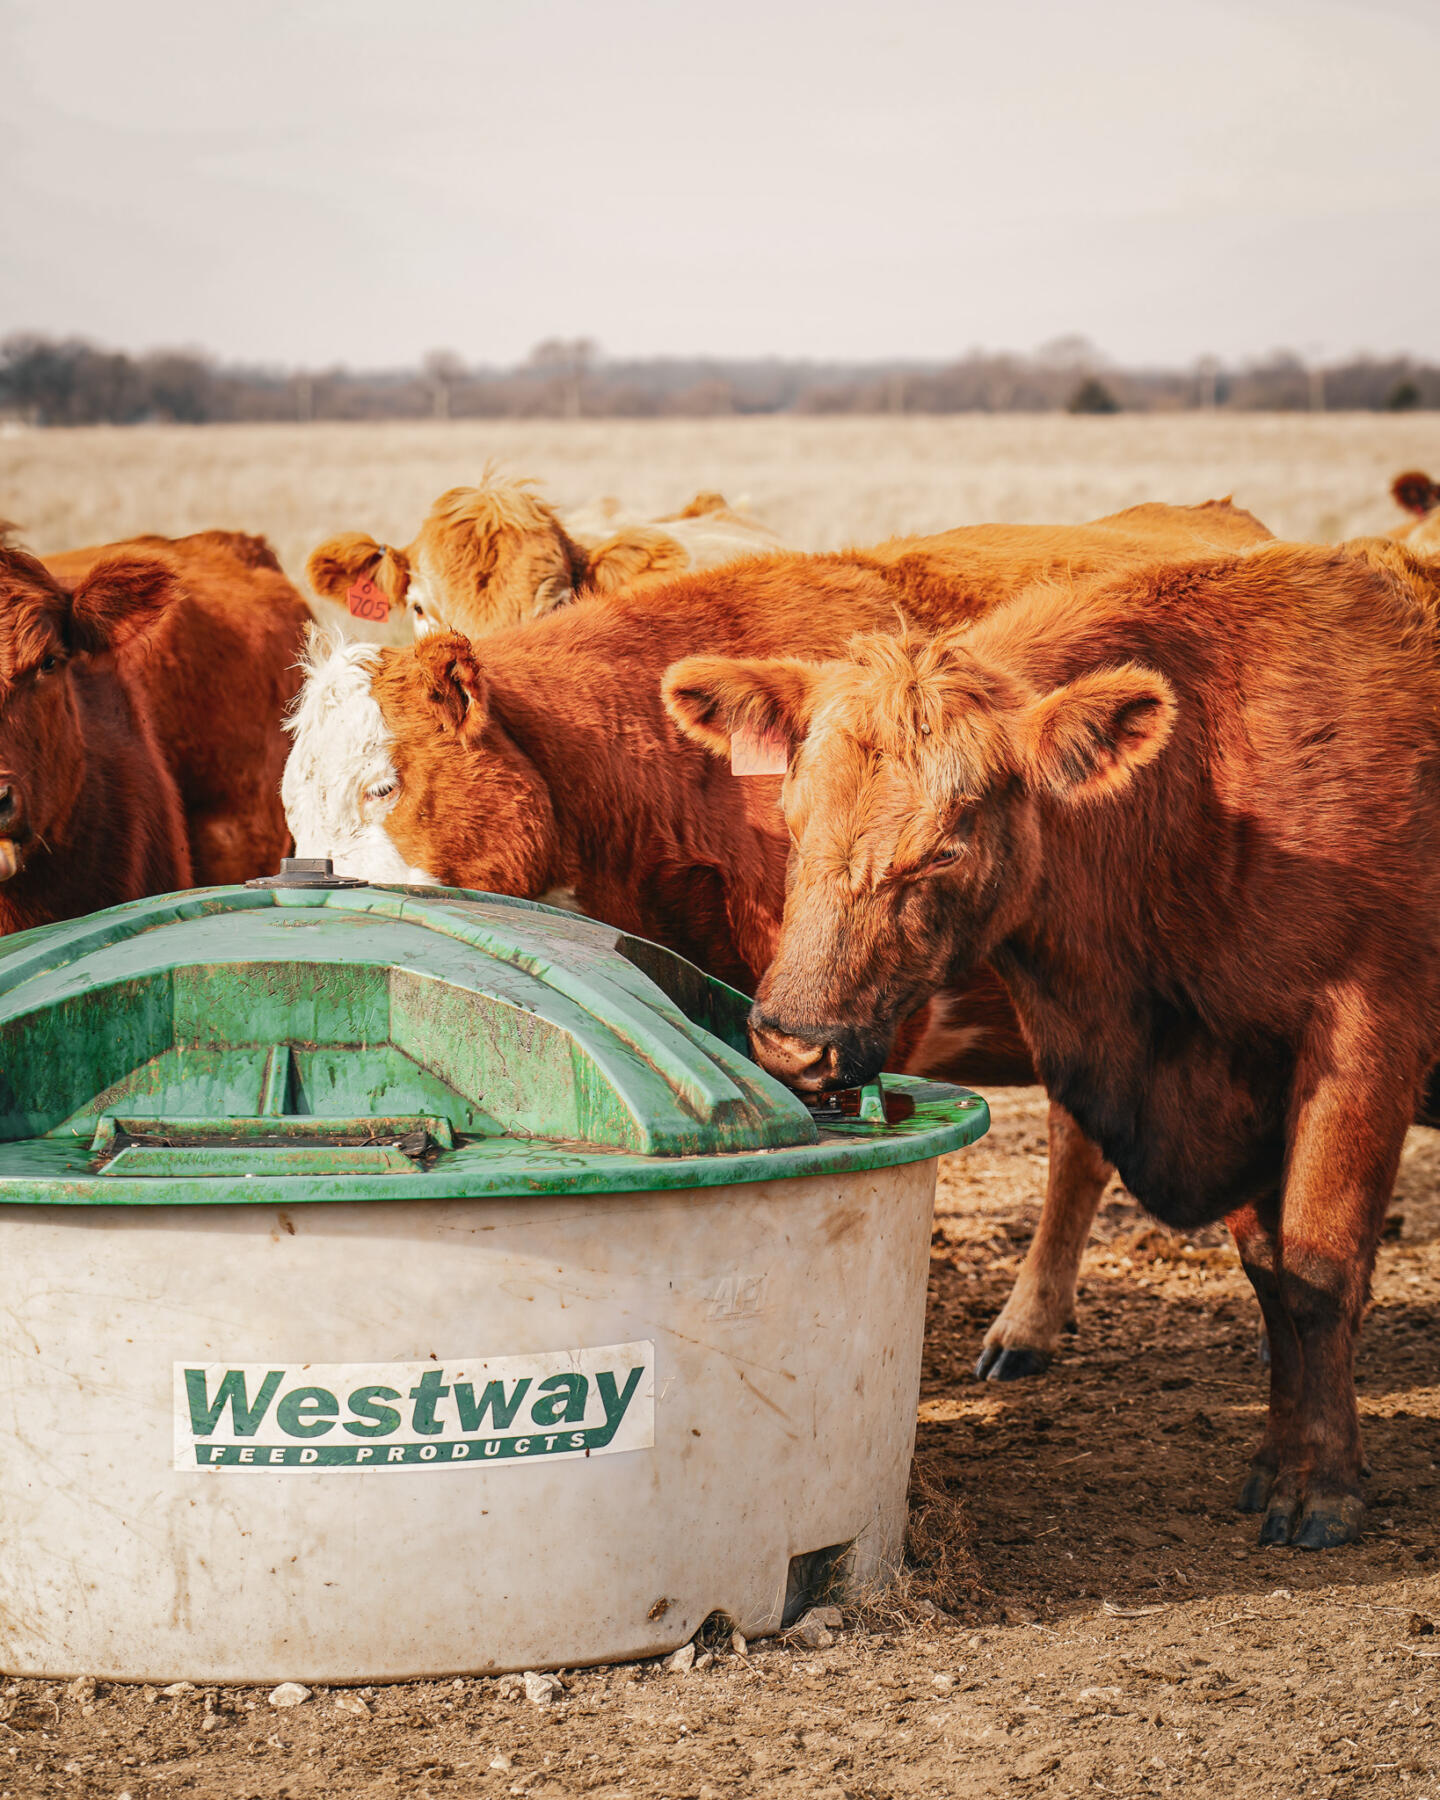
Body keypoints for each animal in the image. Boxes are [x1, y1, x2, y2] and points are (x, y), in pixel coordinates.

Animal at [666, 532, 1440, 1548]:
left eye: (945, 848)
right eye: (791, 819)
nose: (796, 1044)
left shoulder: (1363, 1039)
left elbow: (1320, 1275)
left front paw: (1323, 1488)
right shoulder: (1239, 1079)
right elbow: (1273, 1279)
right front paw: (1279, 1461)